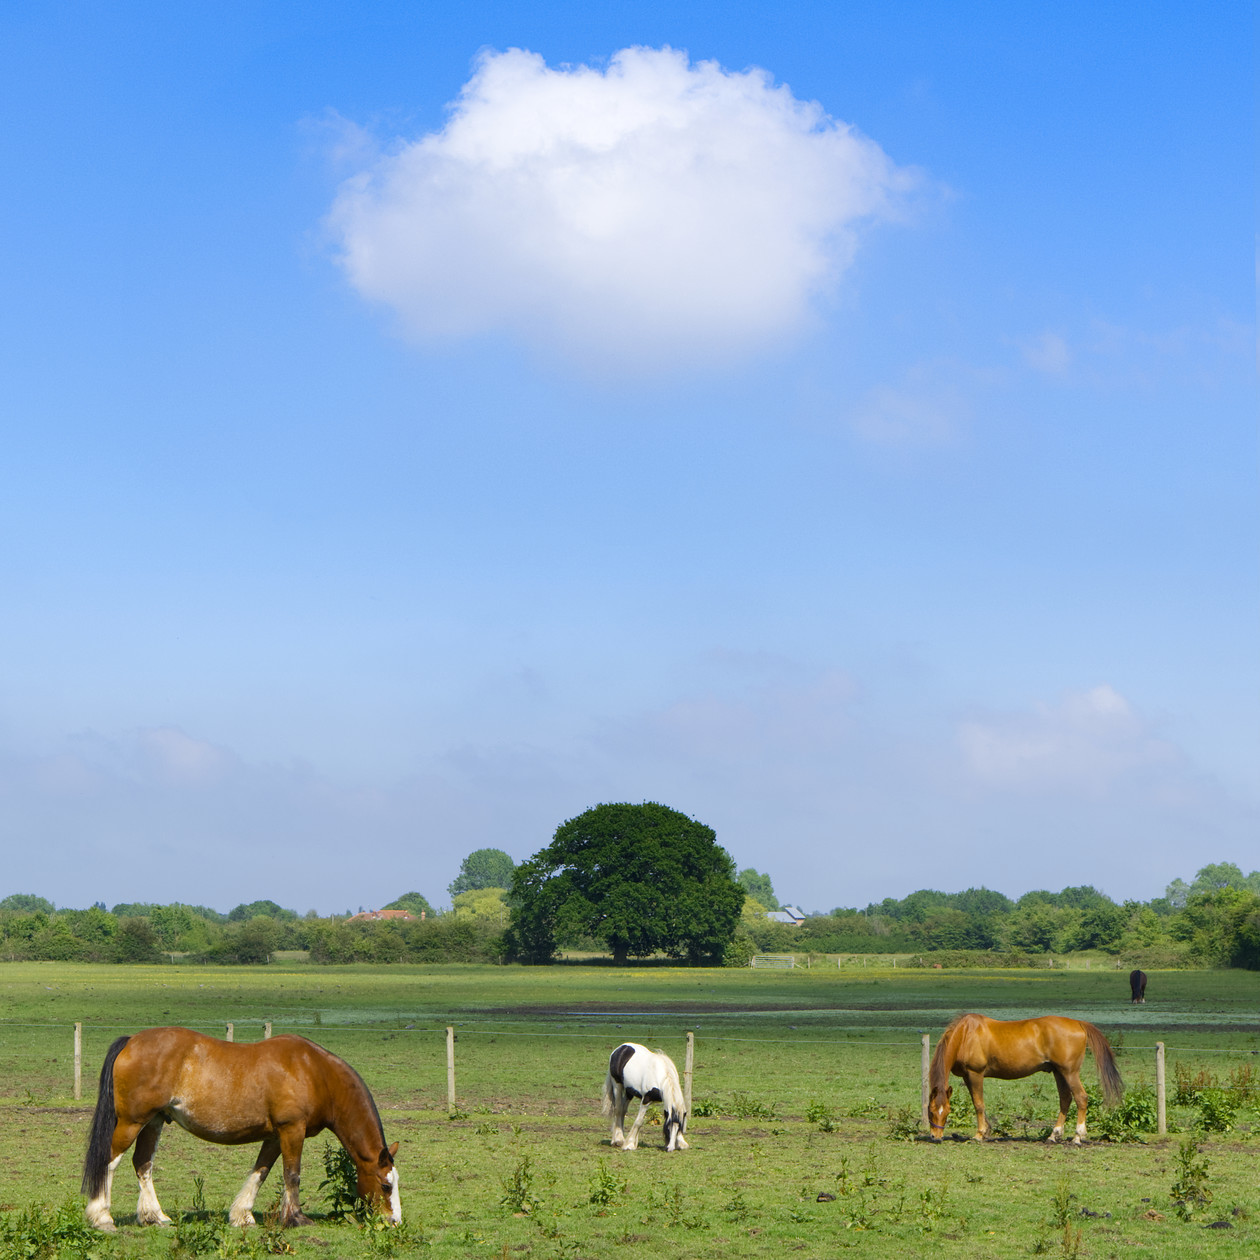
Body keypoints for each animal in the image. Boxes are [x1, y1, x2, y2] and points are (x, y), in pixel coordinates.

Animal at [85, 1023, 398, 1229]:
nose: (394, 1221)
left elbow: (261, 1171)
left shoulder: (275, 1136)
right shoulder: (292, 1130)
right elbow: (292, 1174)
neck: (314, 1071)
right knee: (109, 1161)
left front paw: (242, 1215)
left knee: (143, 1164)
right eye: (385, 1185)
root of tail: (131, 1041)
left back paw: (155, 1216)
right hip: (132, 1122)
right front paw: (296, 1218)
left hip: (153, 1121)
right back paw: (102, 1217)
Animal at [927, 1008, 1123, 1149]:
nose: (936, 1138)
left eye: (947, 1111)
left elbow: (978, 1104)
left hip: (1070, 1072)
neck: (965, 1034)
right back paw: (1054, 1135)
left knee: (1081, 1098)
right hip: (1059, 1072)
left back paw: (1077, 1136)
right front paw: (987, 1130)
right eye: (931, 1110)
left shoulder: (975, 1074)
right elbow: (978, 1103)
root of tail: (1078, 1023)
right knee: (1065, 1099)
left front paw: (979, 1134)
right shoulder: (968, 1077)